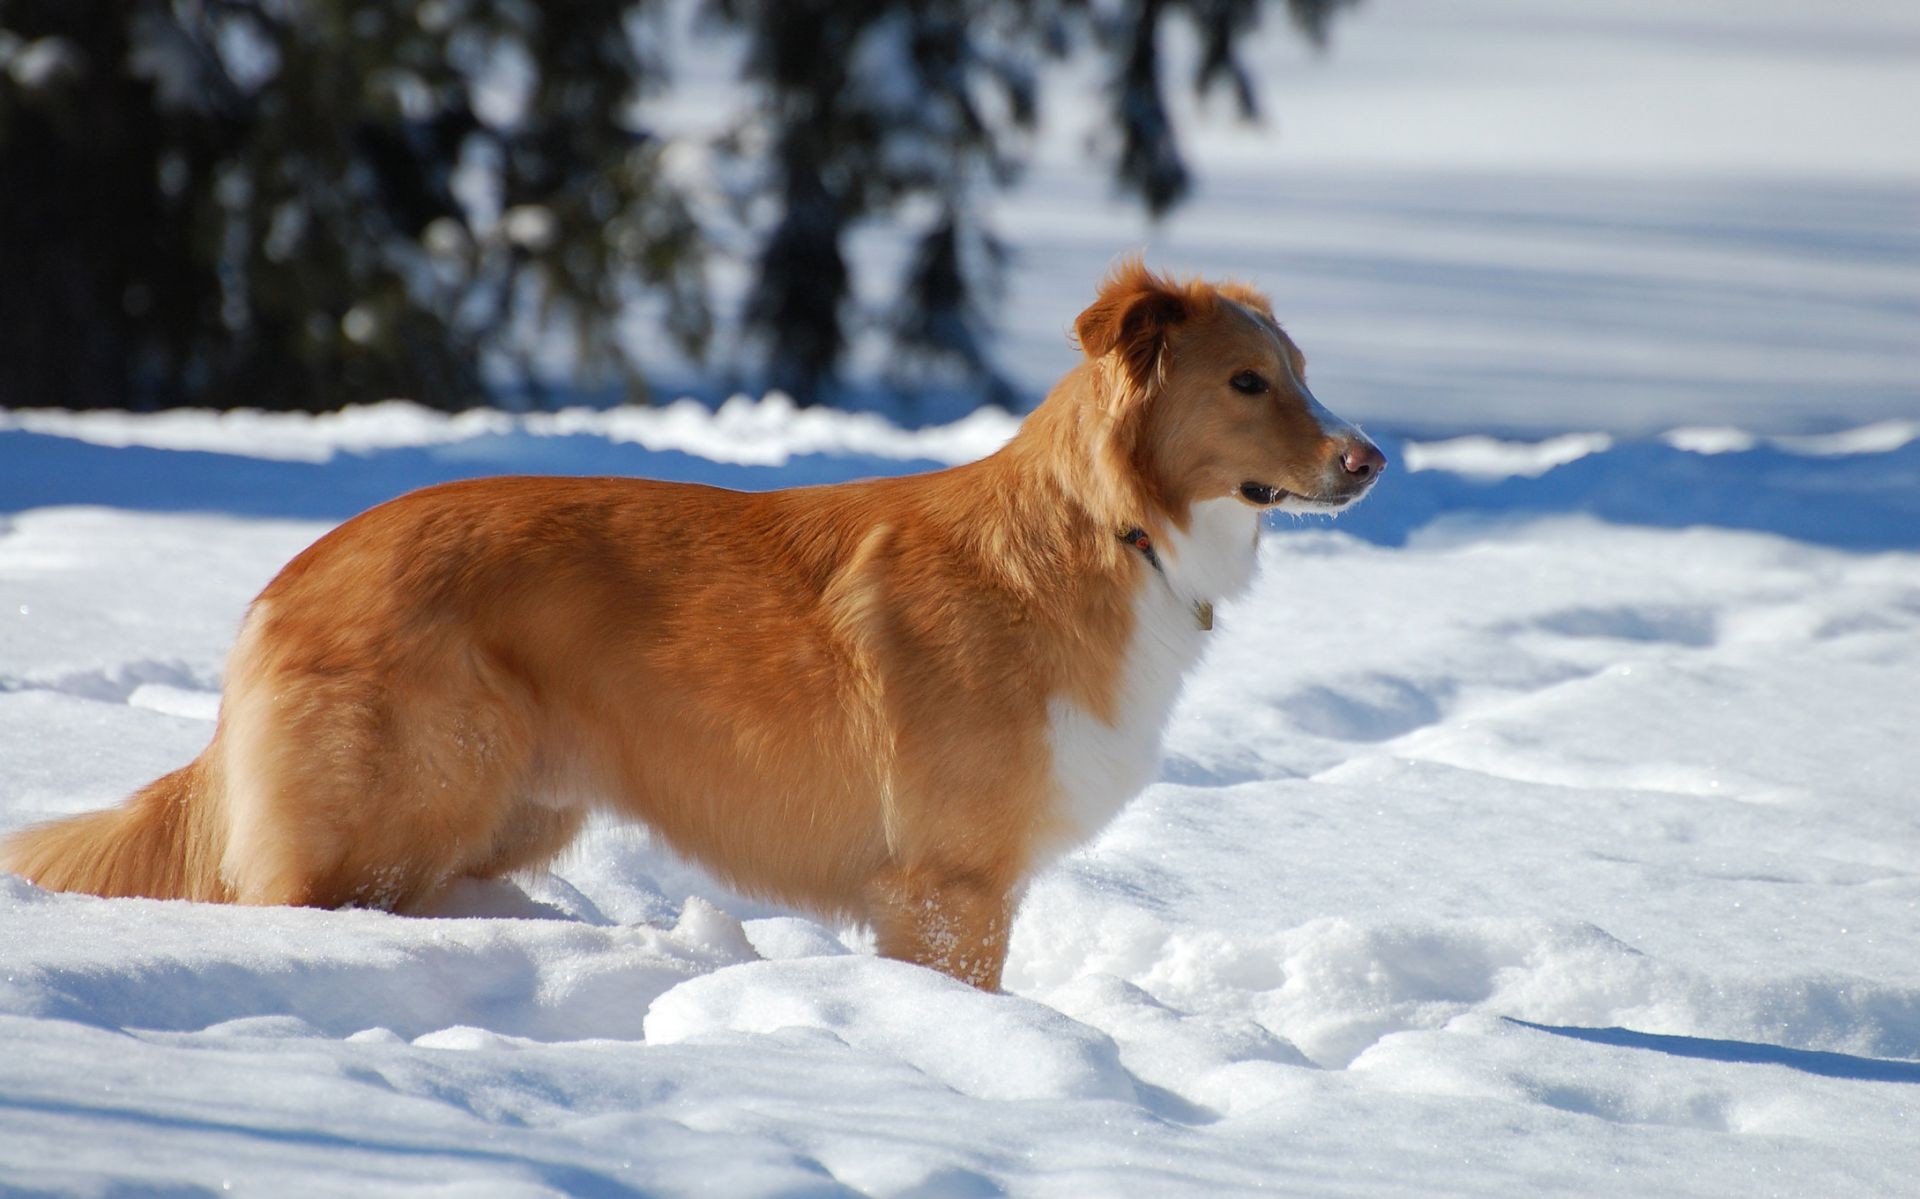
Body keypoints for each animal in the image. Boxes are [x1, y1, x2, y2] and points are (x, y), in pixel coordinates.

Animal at [0, 267, 1382, 991]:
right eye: (1248, 383)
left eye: (1304, 374)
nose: (1370, 461)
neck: (1112, 526)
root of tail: (291, 575)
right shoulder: (949, 886)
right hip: (401, 809)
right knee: (292, 905)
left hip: (509, 808)